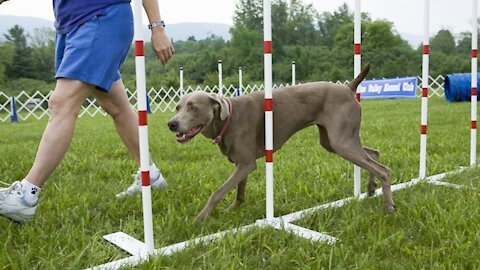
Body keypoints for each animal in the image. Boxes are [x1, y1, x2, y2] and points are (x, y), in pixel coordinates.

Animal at [167, 63, 396, 221]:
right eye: (178, 107)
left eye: (193, 107)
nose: (171, 124)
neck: (227, 119)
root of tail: (349, 88)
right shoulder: (242, 163)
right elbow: (239, 191)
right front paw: (232, 210)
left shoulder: (247, 163)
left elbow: (218, 191)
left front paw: (202, 217)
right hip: (334, 140)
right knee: (374, 154)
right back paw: (371, 188)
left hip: (341, 141)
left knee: (383, 170)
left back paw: (388, 206)